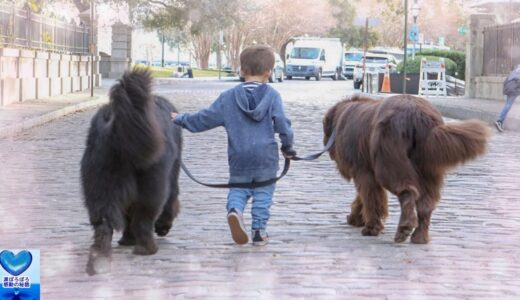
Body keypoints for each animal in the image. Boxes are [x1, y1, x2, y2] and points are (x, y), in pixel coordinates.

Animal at [79, 69, 181, 276]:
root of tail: (115, 129)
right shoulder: (172, 176)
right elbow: (171, 202)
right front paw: (163, 226)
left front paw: (126, 239)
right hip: (152, 185)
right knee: (144, 218)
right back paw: (147, 248)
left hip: (99, 184)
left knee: (103, 224)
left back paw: (100, 258)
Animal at [322, 94, 490, 244]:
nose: (325, 145)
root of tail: (418, 115)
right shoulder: (366, 173)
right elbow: (364, 198)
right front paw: (355, 218)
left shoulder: (364, 171)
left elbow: (370, 199)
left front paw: (370, 228)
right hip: (428, 168)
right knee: (425, 204)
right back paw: (420, 237)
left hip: (389, 163)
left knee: (408, 192)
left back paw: (404, 229)